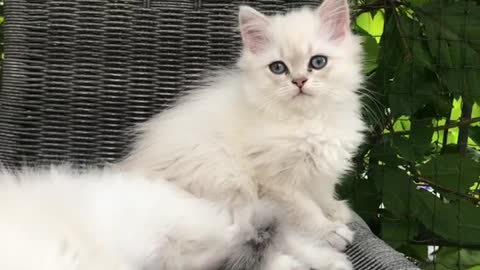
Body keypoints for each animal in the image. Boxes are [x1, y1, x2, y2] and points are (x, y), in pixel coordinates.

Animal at [121, 0, 364, 268]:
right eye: (278, 68)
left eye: (318, 62)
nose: (299, 81)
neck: (306, 120)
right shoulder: (276, 183)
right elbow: (305, 210)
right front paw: (329, 229)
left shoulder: (322, 170)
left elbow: (323, 194)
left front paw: (334, 210)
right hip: (227, 184)